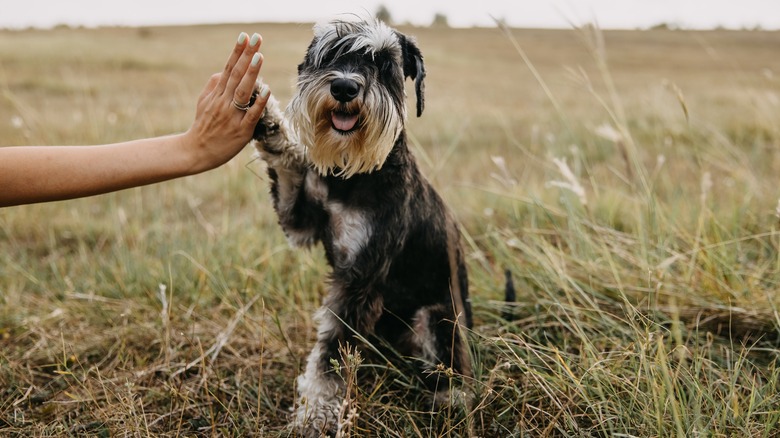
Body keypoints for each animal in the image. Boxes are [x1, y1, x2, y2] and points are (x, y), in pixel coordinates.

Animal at [251, 17, 470, 434]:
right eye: (330, 55)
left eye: (384, 63)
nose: (344, 87)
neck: (352, 175)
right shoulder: (300, 221)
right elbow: (288, 165)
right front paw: (269, 122)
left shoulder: (360, 277)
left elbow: (331, 356)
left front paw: (316, 415)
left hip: (436, 318)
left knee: (453, 370)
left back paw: (448, 402)